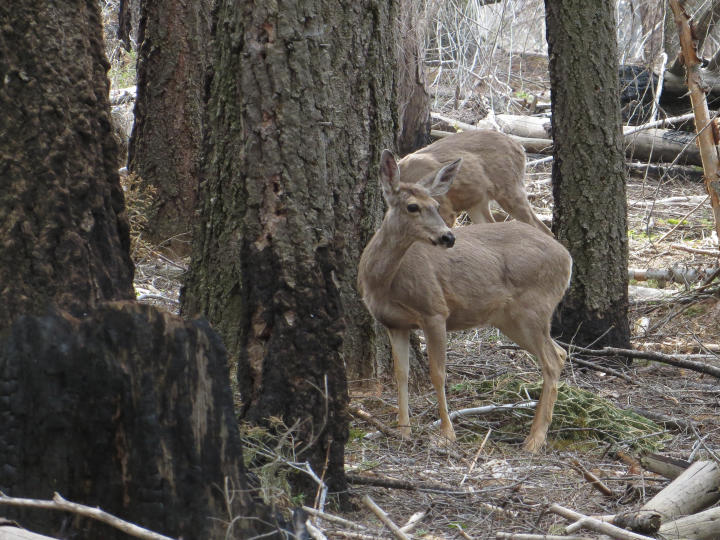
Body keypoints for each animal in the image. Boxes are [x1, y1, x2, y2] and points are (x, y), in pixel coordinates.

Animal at [358, 148, 572, 452]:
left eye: (436, 205)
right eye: (412, 207)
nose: (448, 237)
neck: (384, 281)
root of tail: (567, 258)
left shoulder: (435, 310)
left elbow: (438, 373)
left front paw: (447, 434)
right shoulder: (393, 322)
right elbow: (402, 373)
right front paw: (403, 430)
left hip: (535, 307)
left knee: (552, 360)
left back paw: (535, 439)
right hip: (509, 319)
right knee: (560, 353)